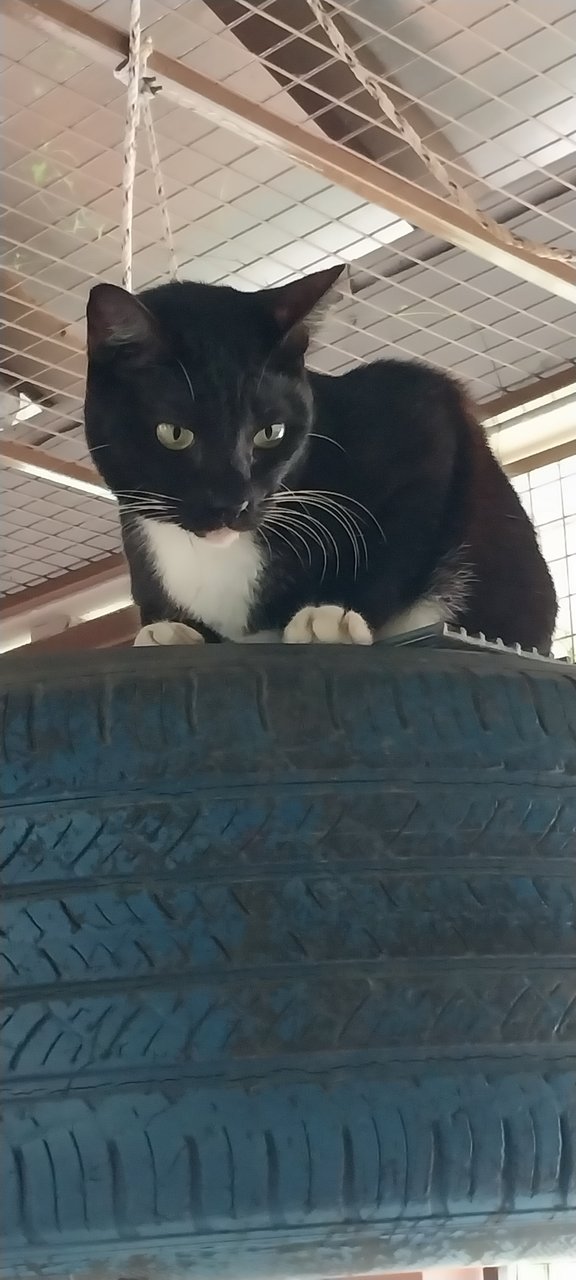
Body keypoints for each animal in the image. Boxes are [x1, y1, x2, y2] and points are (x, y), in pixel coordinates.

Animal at [83, 267, 555, 650]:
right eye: (174, 434)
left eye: (270, 433)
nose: (232, 504)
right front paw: (174, 631)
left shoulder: (422, 415)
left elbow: (399, 540)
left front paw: (332, 614)